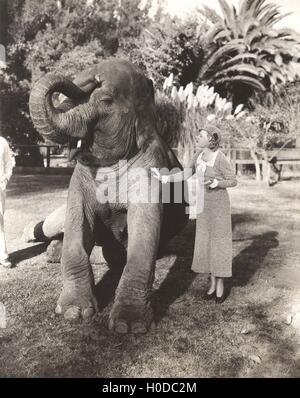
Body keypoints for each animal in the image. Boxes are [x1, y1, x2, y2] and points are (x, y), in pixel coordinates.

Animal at [29, 59, 190, 332]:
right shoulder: (80, 177)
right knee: (52, 226)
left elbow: (144, 228)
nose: (92, 77)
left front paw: (129, 325)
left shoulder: (151, 166)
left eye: (105, 100)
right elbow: (77, 221)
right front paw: (72, 313)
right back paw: (51, 250)